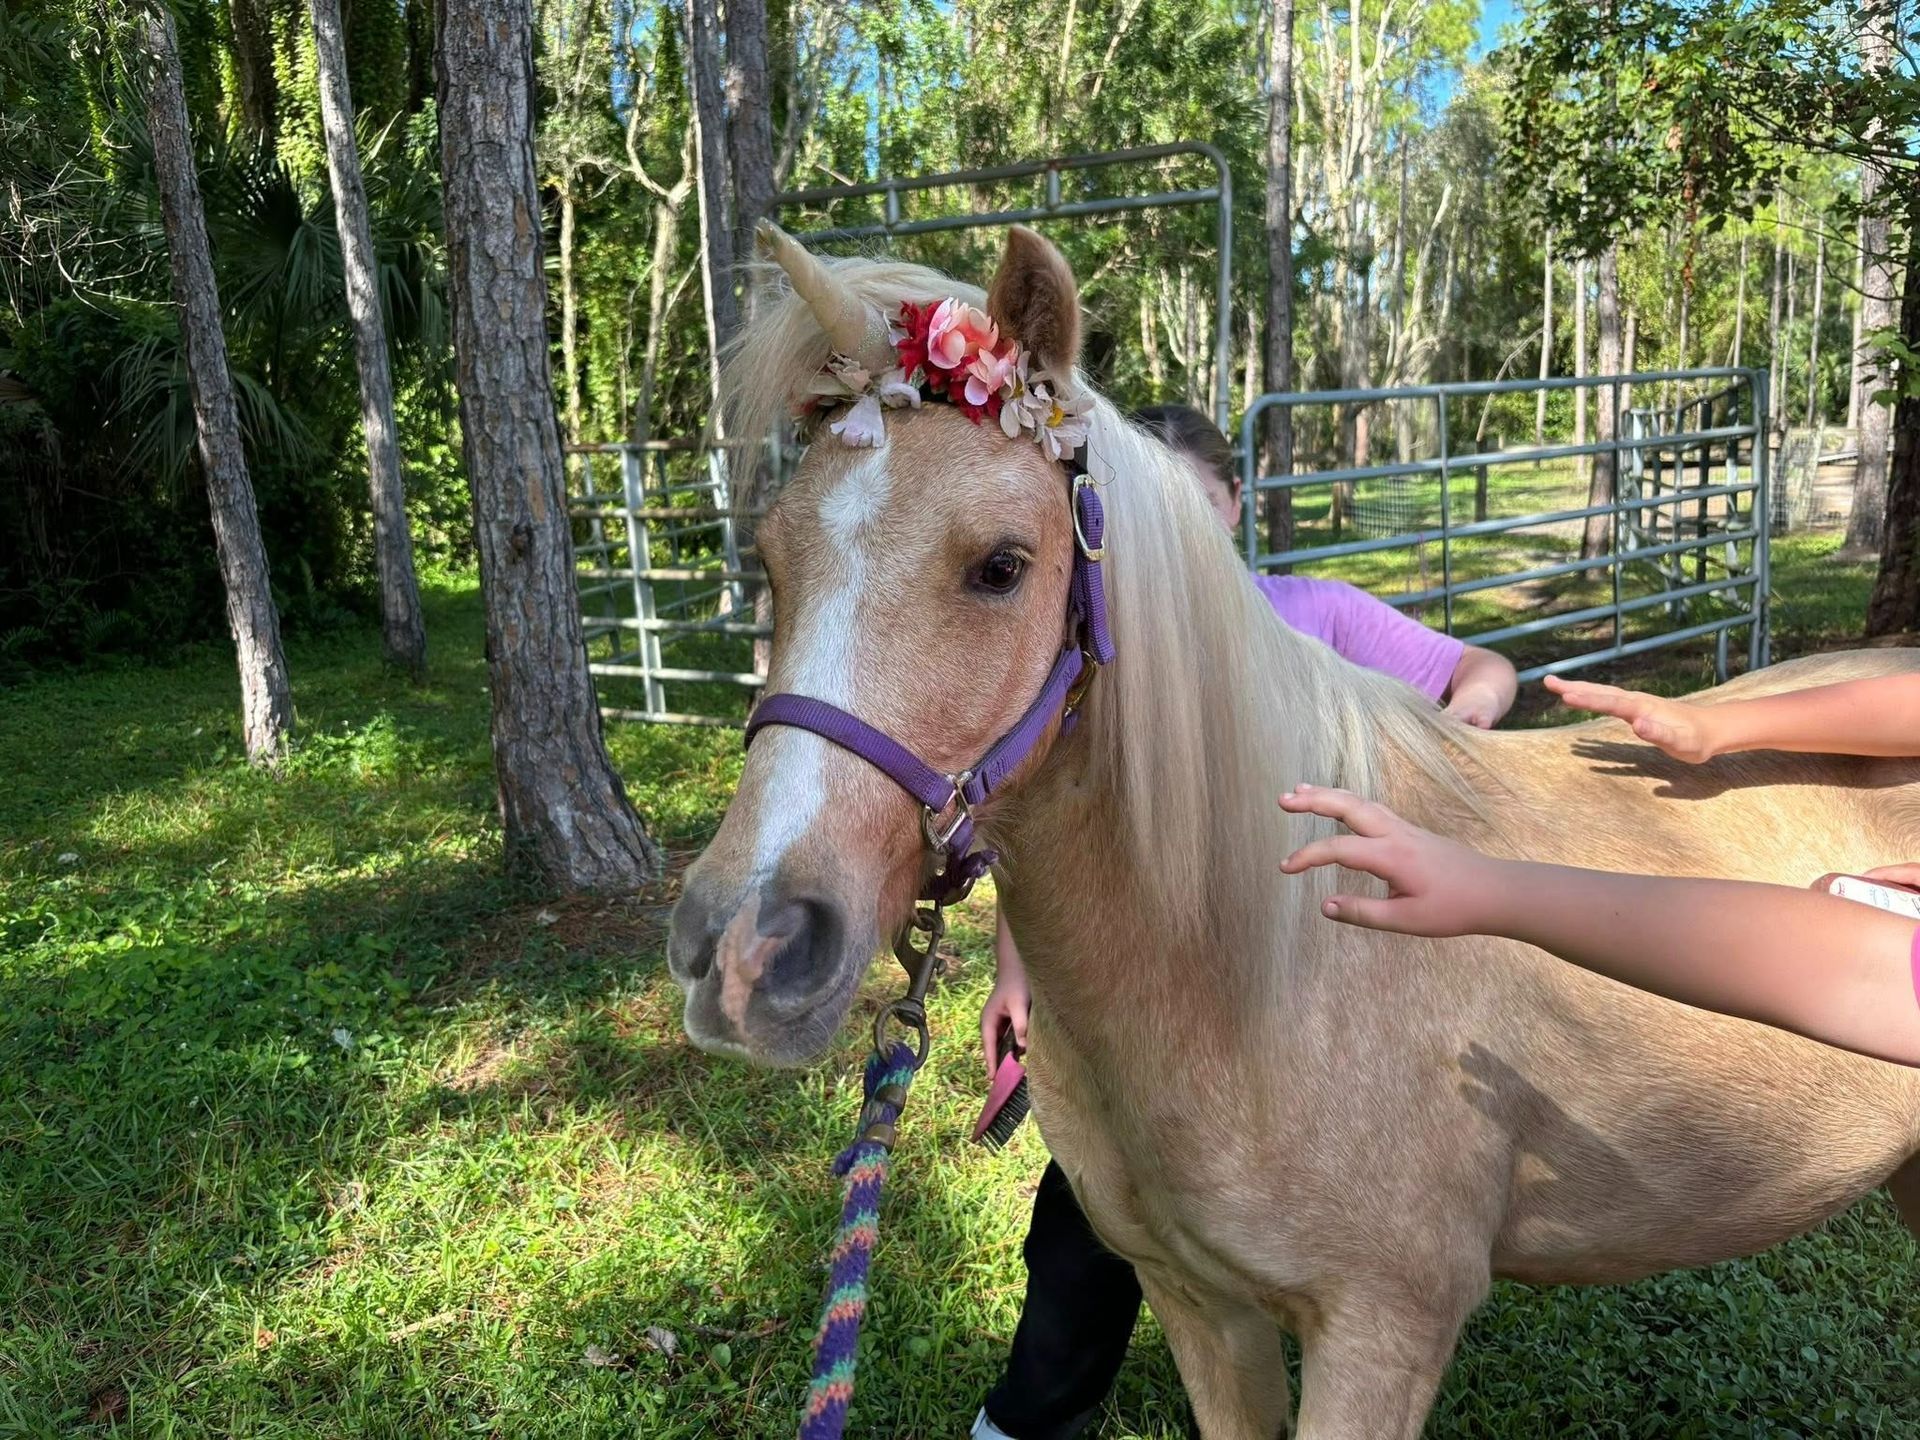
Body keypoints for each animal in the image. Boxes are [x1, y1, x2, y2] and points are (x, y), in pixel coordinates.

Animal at [666, 225, 1920, 1438]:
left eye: (1001, 567)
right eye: (772, 561)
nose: (740, 950)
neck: (1261, 965)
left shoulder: (1382, 1331)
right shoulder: (1196, 1305)